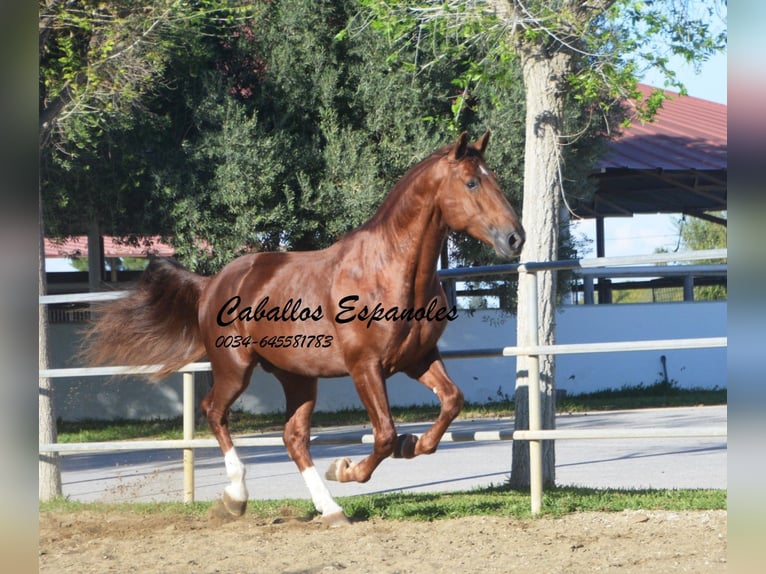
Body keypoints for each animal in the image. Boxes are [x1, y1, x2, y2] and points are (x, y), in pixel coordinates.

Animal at [85, 133, 528, 528]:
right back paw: (236, 499)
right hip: (234, 367)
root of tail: (211, 283)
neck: (386, 270)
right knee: (214, 411)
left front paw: (413, 444)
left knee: (293, 437)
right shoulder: (365, 367)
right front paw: (347, 468)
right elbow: (384, 434)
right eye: (471, 182)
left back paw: (331, 510)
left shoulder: (417, 359)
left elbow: (451, 402)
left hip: (297, 377)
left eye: (493, 178)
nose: (515, 238)